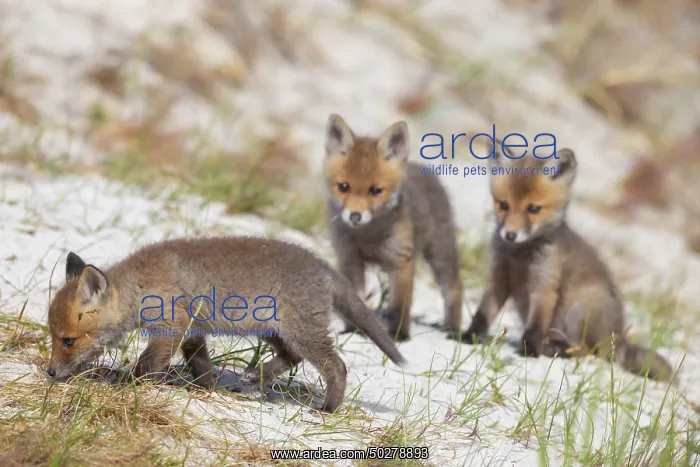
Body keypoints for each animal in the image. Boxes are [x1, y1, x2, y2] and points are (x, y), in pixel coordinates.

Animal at [45, 236, 405, 413]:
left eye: (68, 341)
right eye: (53, 337)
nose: (49, 372)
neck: (140, 283)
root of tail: (325, 267)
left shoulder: (173, 325)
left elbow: (147, 364)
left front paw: (125, 384)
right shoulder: (193, 330)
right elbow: (200, 362)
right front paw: (205, 387)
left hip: (301, 333)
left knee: (336, 366)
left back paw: (329, 408)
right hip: (273, 332)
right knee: (292, 358)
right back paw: (255, 377)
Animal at [324, 114, 464, 342]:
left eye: (375, 190)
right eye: (343, 187)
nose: (355, 216)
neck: (368, 237)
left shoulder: (401, 260)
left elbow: (400, 304)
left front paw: (399, 334)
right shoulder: (349, 259)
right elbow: (355, 300)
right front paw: (354, 330)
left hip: (441, 254)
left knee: (454, 290)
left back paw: (453, 330)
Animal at [459, 140, 677, 385]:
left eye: (534, 208)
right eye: (504, 205)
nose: (510, 235)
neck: (519, 255)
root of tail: (619, 339)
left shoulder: (545, 286)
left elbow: (535, 326)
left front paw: (529, 351)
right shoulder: (499, 277)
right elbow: (482, 314)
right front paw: (469, 335)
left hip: (578, 309)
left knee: (588, 352)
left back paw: (556, 350)